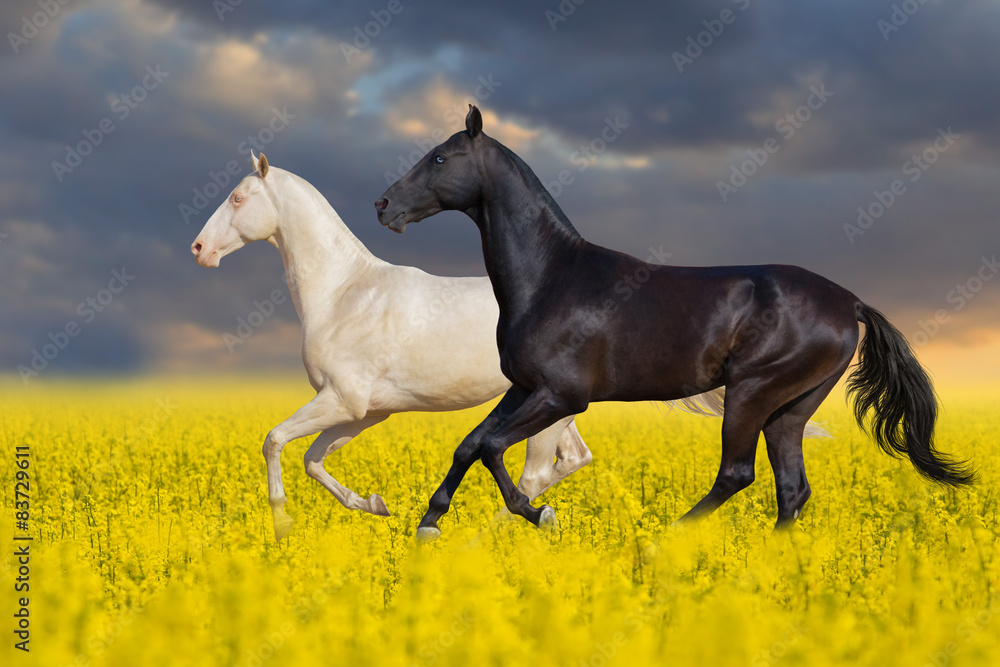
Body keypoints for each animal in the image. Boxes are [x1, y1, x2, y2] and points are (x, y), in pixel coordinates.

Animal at [190, 153, 727, 542]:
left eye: (237, 198)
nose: (199, 249)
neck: (345, 292)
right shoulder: (365, 412)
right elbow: (312, 459)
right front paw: (375, 506)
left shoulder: (343, 401)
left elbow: (275, 441)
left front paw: (282, 524)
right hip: (554, 408)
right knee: (572, 459)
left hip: (549, 408)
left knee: (534, 471)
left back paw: (500, 530)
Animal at [375, 105, 975, 538]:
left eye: (439, 159)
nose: (383, 205)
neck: (551, 278)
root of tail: (849, 302)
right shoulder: (523, 387)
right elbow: (470, 443)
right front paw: (429, 524)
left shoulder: (562, 396)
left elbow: (492, 448)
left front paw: (537, 514)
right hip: (790, 409)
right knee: (791, 490)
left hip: (752, 392)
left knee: (738, 474)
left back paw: (668, 537)